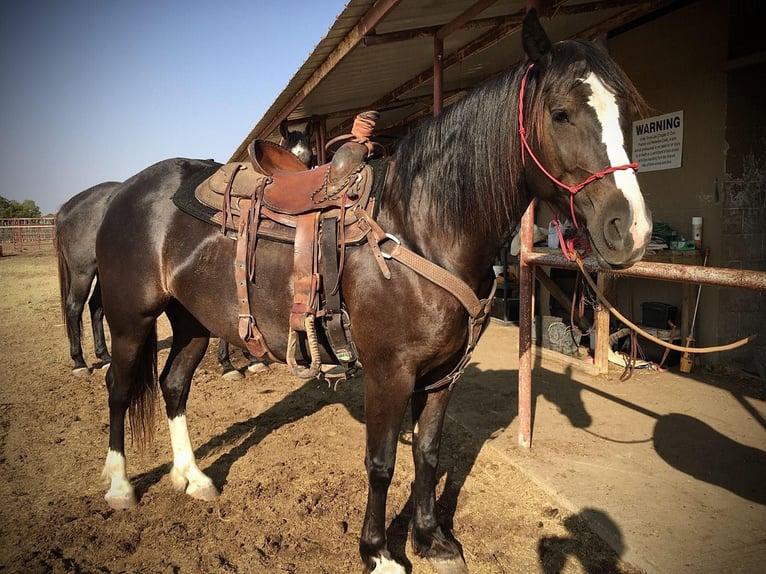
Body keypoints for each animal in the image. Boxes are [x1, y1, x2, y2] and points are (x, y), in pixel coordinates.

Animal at [54, 125, 316, 378]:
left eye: (311, 157)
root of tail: (68, 206)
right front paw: (228, 364)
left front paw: (250, 359)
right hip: (83, 272)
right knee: (75, 307)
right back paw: (79, 362)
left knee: (96, 307)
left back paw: (104, 356)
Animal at [94, 11, 648, 572]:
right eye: (561, 114)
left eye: (627, 112)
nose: (630, 230)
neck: (421, 228)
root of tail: (125, 191)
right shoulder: (389, 372)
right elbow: (382, 463)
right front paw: (379, 553)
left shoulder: (443, 374)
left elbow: (427, 453)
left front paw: (431, 540)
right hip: (130, 320)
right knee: (119, 387)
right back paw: (119, 486)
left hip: (193, 322)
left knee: (173, 385)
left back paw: (192, 478)